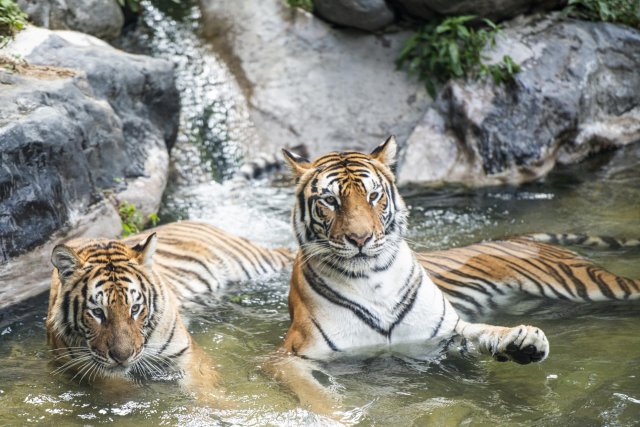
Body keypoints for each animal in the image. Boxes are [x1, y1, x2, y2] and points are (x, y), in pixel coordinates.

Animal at [46, 221, 294, 402]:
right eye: (97, 312)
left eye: (135, 308)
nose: (123, 357)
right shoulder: (79, 363)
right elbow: (115, 384)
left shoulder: (186, 353)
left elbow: (204, 388)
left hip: (257, 261)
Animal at [268, 137, 640, 414]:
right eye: (330, 201)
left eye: (373, 196)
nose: (360, 239)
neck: (373, 281)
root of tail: (518, 237)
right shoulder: (289, 358)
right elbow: (318, 396)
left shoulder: (441, 336)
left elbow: (484, 332)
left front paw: (523, 341)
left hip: (594, 284)